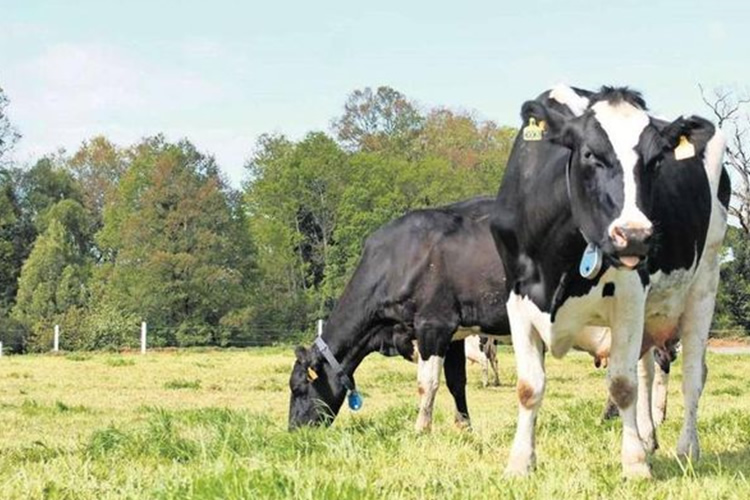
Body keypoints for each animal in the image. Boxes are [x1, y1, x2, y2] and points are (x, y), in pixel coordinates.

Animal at [288, 195, 512, 430]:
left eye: (298, 388)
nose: (294, 431)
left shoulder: (434, 325)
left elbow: (427, 383)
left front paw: (421, 430)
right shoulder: (455, 334)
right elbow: (456, 381)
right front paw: (464, 428)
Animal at [490, 84, 732, 478]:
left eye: (656, 160)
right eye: (590, 154)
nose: (634, 236)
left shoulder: (631, 294)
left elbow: (622, 384)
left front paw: (634, 465)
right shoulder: (518, 297)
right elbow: (529, 386)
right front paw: (520, 463)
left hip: (705, 282)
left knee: (692, 376)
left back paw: (686, 449)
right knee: (648, 371)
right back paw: (649, 439)